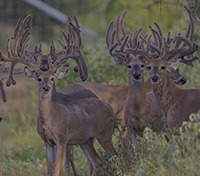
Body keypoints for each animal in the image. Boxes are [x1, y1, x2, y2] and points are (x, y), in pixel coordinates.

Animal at [0, 14, 117, 175]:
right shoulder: (47, 142)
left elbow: (57, 169)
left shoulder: (61, 139)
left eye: (52, 77)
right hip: (85, 140)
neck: (48, 118)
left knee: (114, 157)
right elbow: (49, 170)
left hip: (103, 135)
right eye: (38, 77)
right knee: (97, 161)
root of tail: (109, 107)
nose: (46, 86)